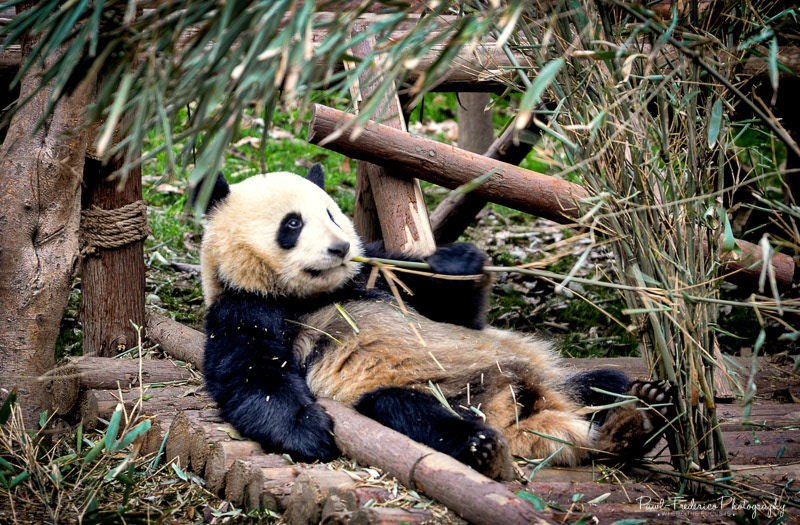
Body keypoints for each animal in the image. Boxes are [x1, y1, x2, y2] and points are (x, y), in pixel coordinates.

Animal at [199, 165, 674, 480]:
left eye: (333, 214)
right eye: (293, 223)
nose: (339, 248)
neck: (319, 292)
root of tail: (524, 417)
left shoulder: (374, 273)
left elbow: (453, 310)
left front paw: (459, 262)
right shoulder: (247, 308)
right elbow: (253, 375)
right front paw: (308, 434)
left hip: (554, 382)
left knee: (602, 382)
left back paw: (644, 411)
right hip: (426, 393)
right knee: (411, 412)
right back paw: (484, 447)